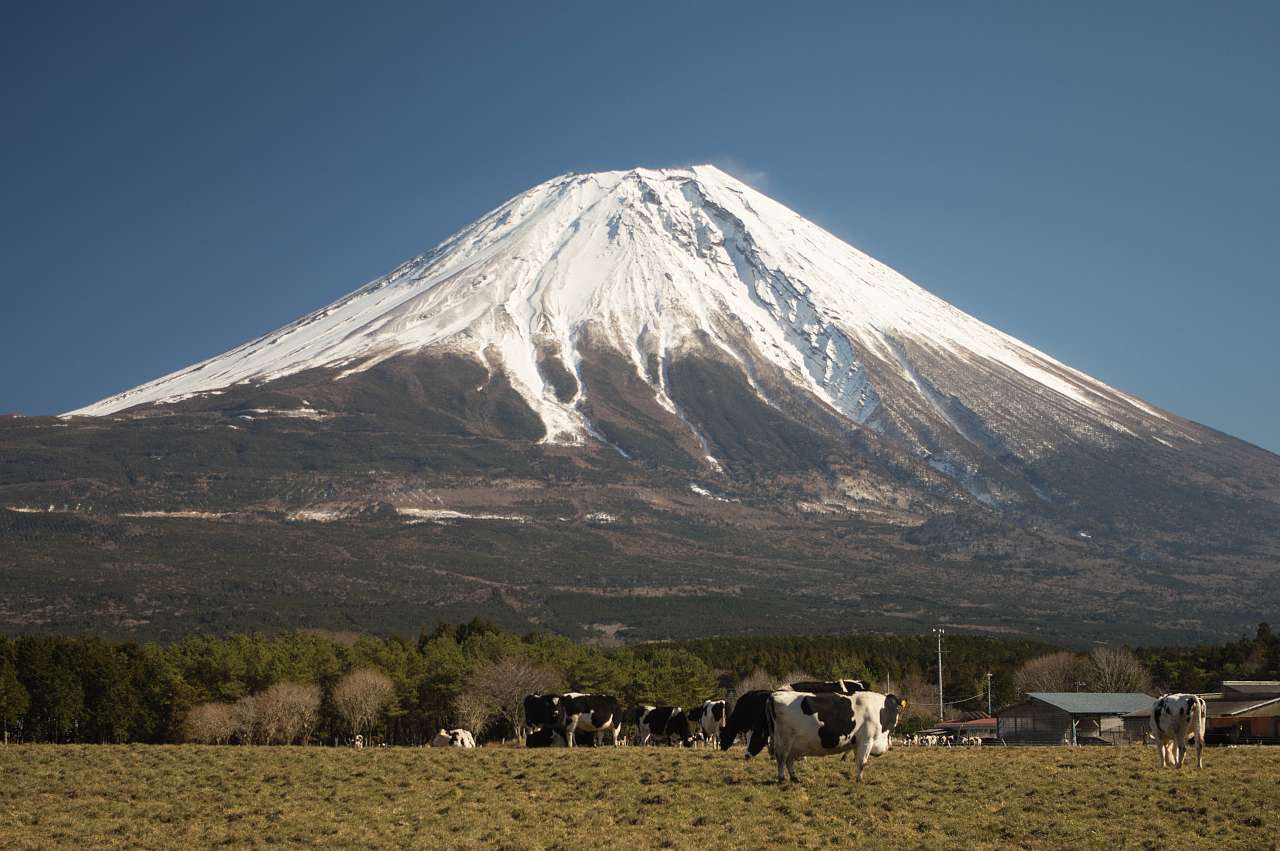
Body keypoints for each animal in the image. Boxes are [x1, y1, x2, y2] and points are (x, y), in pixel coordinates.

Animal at [762, 685, 906, 778]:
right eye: (897, 709)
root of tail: (775, 694)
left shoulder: (857, 742)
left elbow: (857, 761)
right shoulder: (867, 739)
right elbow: (862, 762)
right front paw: (859, 781)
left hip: (792, 742)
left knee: (789, 759)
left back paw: (794, 777)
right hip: (784, 738)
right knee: (781, 757)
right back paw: (781, 778)